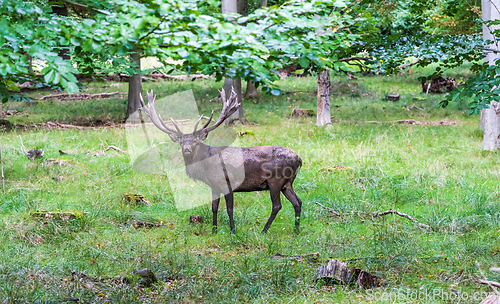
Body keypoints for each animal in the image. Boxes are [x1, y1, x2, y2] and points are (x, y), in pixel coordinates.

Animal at [139, 86, 302, 234]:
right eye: (181, 142)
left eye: (195, 141)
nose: (186, 149)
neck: (206, 166)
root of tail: (300, 159)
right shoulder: (214, 186)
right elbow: (214, 208)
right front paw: (214, 230)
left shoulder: (227, 183)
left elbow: (229, 209)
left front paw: (233, 231)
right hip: (287, 183)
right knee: (298, 202)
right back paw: (296, 230)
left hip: (275, 180)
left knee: (277, 205)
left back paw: (264, 230)